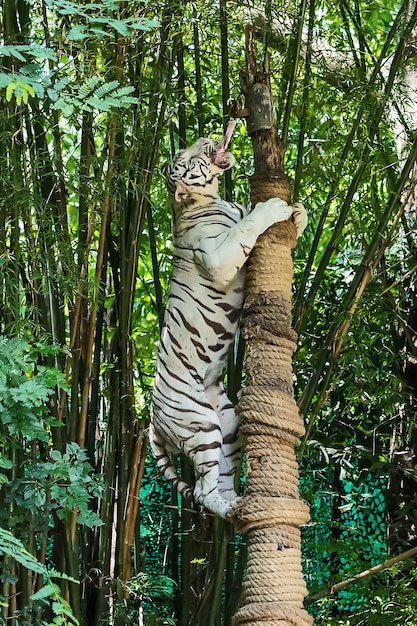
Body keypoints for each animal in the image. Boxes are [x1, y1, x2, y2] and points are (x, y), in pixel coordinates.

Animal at [150, 128, 306, 516]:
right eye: (187, 158)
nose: (207, 138)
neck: (213, 199)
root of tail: (152, 422)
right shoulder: (218, 255)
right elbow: (246, 226)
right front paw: (272, 208)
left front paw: (298, 211)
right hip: (200, 426)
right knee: (202, 491)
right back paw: (231, 508)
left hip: (229, 422)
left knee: (220, 478)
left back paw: (242, 504)